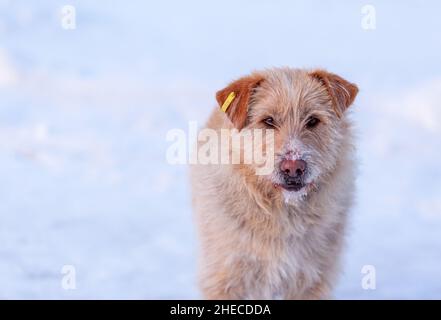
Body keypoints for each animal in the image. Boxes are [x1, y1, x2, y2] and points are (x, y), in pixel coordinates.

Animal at [189, 67, 358, 300]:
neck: (283, 210)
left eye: (312, 120)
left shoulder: (312, 280)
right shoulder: (224, 277)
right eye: (268, 121)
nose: (293, 167)